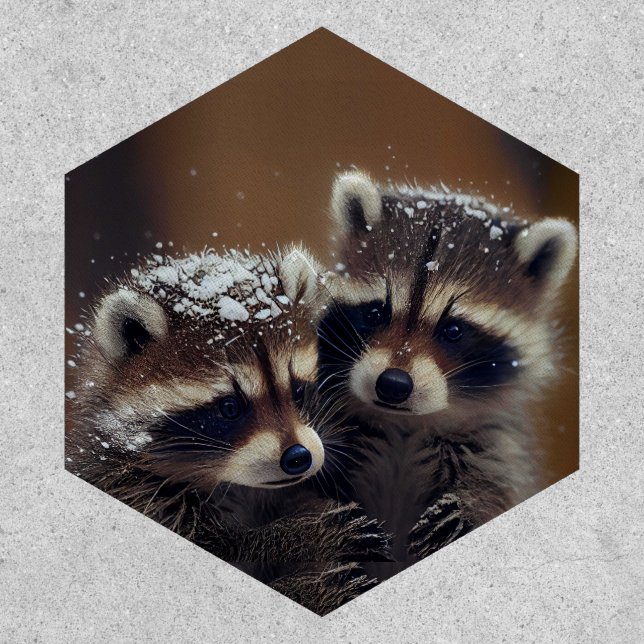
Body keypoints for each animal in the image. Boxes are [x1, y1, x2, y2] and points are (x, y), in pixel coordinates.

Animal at [65, 244, 388, 613]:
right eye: (230, 408)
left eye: (296, 390)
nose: (298, 458)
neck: (236, 485)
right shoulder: (133, 486)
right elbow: (226, 547)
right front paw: (293, 536)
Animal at [317, 170, 577, 574]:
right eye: (376, 313)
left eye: (453, 330)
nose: (393, 385)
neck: (405, 426)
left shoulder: (497, 448)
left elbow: (498, 490)